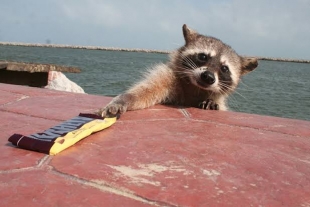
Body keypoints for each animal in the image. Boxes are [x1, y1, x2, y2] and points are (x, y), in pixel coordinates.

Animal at [98, 24, 258, 116]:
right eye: (203, 56)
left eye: (224, 68)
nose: (208, 76)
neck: (196, 87)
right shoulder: (168, 77)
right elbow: (145, 92)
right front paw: (125, 99)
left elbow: (220, 105)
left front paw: (212, 101)